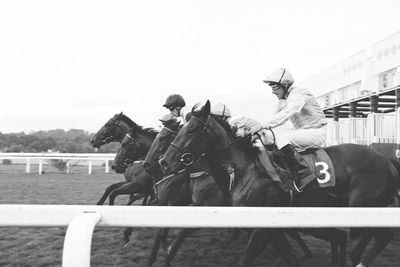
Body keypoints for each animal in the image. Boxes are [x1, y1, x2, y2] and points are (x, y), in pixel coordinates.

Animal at [160, 101, 400, 267]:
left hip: (364, 208)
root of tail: (386, 159)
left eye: (190, 130)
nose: (164, 162)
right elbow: (291, 257)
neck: (246, 170)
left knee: (373, 238)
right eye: (181, 129)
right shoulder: (270, 229)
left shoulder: (262, 227)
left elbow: (247, 259)